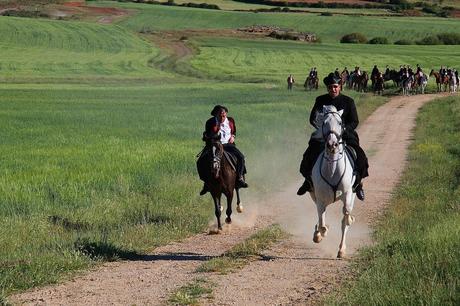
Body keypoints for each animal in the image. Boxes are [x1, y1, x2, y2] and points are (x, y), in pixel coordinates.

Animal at [310, 105, 356, 258]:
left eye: (340, 123)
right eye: (324, 123)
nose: (332, 145)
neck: (332, 168)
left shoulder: (348, 195)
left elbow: (345, 218)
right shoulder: (320, 199)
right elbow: (322, 222)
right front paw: (319, 234)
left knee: (344, 221)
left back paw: (341, 249)